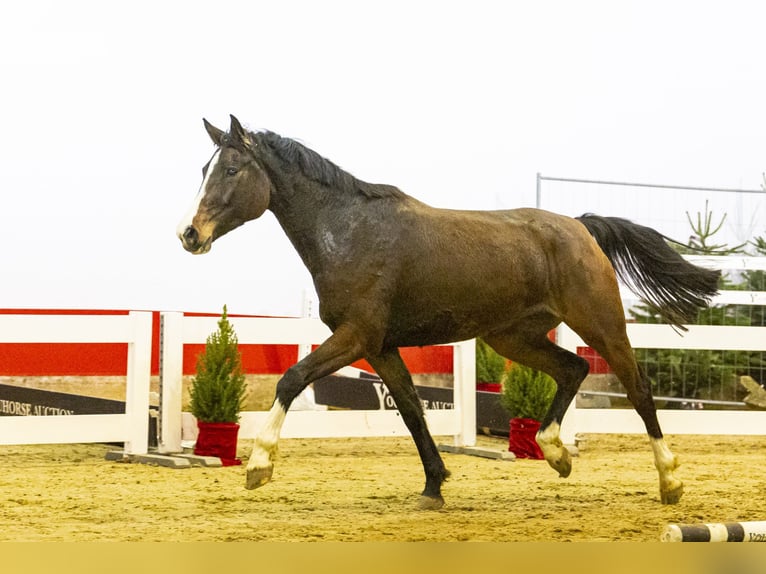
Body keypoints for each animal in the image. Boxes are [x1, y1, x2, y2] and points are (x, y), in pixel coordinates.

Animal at [176, 115, 720, 509]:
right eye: (202, 171)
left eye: (231, 170)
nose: (189, 234)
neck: (349, 231)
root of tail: (580, 226)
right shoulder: (382, 347)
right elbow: (412, 411)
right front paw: (434, 487)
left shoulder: (356, 336)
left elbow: (292, 378)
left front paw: (258, 467)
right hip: (513, 337)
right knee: (573, 369)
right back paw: (555, 452)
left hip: (601, 323)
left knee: (638, 388)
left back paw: (669, 481)